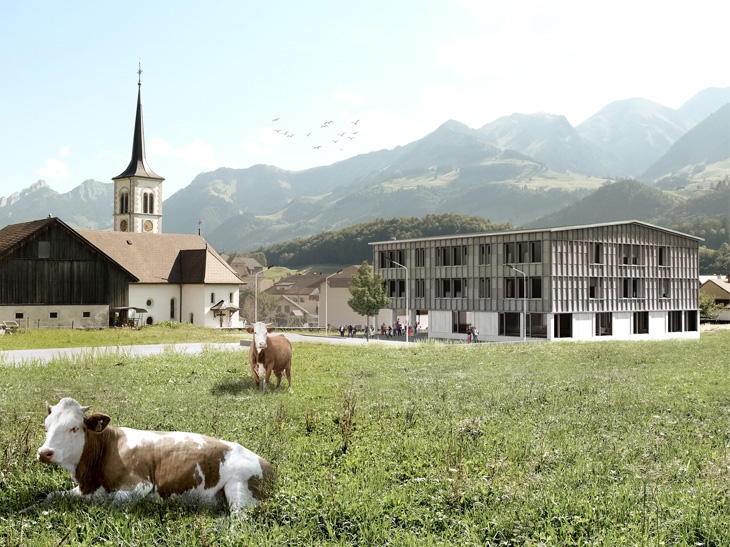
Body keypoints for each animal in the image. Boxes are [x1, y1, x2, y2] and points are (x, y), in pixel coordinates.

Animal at [36, 398, 272, 512]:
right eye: (46, 427)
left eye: (74, 428)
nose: (44, 453)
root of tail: (267, 464)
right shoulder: (86, 489)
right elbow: (51, 496)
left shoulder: (139, 484)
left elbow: (111, 502)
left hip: (240, 489)